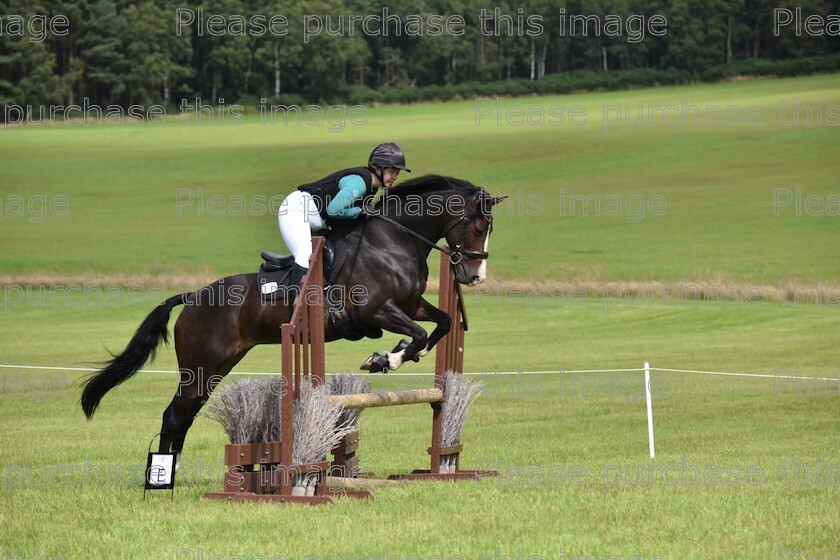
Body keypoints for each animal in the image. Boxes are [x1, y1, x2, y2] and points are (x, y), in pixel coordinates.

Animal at [80, 176, 506, 464]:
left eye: (489, 229)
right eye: (477, 227)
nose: (475, 277)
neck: (393, 241)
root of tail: (193, 297)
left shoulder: (411, 303)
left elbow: (442, 323)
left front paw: (398, 354)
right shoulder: (377, 310)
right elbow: (417, 332)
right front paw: (388, 357)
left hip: (216, 366)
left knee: (184, 414)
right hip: (201, 365)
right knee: (175, 414)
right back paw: (164, 475)